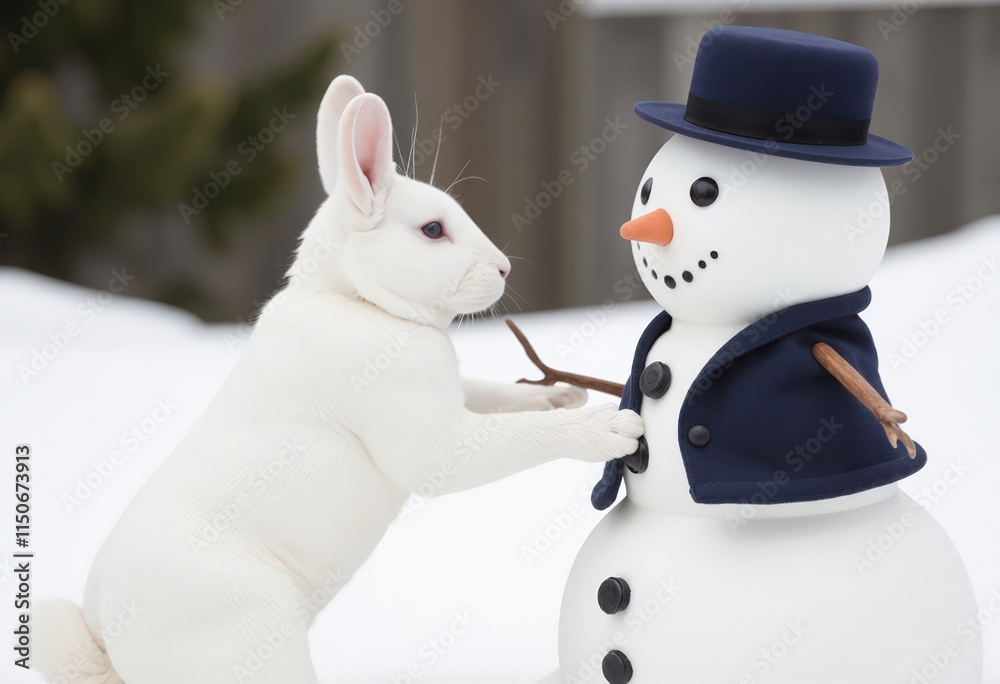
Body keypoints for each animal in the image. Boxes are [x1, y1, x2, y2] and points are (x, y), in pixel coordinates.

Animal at [35, 76, 644, 684]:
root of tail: (114, 648)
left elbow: (498, 398)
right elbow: (510, 441)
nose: (503, 269)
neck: (353, 298)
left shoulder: (453, 397)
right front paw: (602, 426)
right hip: (259, 643)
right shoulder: (432, 441)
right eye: (432, 231)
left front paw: (562, 394)